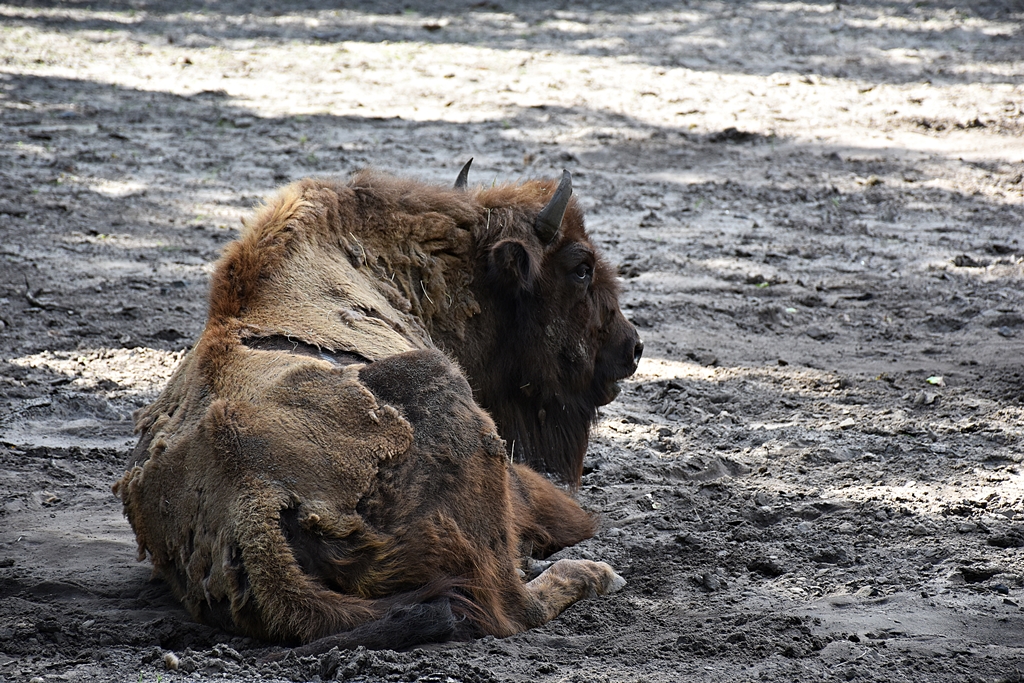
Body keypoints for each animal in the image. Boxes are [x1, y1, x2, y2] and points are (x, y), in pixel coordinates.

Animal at [114, 163, 642, 649]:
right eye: (581, 267)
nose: (632, 348)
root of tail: (252, 498)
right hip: (446, 394)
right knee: (511, 605)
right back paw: (598, 572)